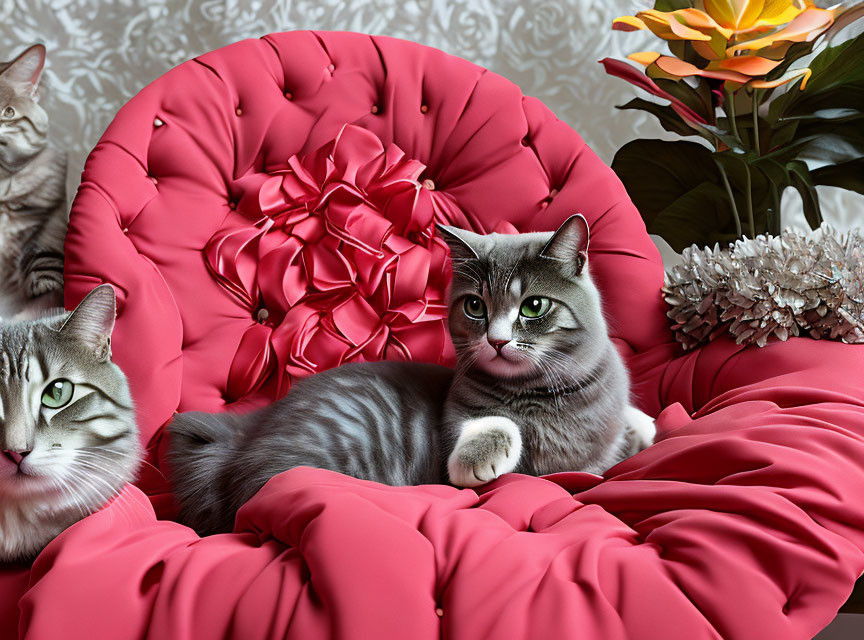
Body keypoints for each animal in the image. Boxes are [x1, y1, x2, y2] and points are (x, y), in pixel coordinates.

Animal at [169, 215, 656, 536]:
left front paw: (644, 424)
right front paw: (481, 454)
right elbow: (497, 429)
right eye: (474, 305)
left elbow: (624, 434)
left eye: (534, 306)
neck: (547, 393)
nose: (497, 340)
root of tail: (242, 437)